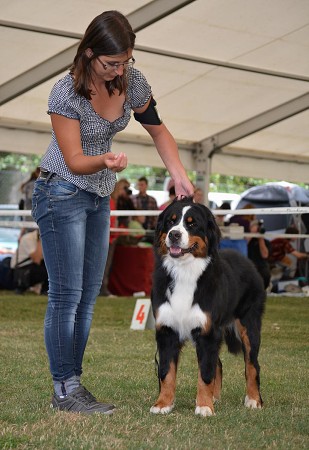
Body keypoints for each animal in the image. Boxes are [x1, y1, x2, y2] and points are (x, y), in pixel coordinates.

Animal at [149, 199, 264, 416]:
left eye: (192, 224)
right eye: (171, 221)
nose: (174, 234)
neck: (184, 272)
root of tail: (249, 263)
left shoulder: (207, 332)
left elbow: (205, 373)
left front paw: (203, 406)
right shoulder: (168, 330)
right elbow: (166, 372)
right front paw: (163, 404)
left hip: (249, 326)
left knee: (252, 365)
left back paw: (254, 400)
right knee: (218, 363)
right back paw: (215, 397)